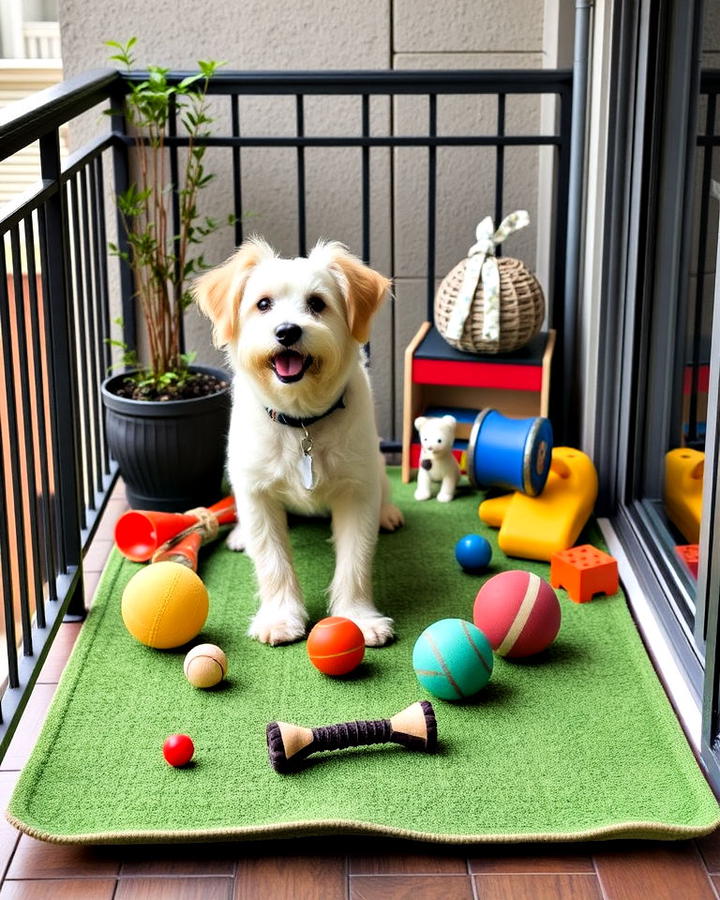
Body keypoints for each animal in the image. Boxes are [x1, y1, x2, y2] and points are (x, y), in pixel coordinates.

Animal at [194, 239, 402, 648]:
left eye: (317, 303)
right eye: (263, 304)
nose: (287, 331)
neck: (301, 420)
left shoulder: (357, 491)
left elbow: (355, 561)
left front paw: (358, 618)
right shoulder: (257, 492)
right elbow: (272, 561)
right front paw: (280, 617)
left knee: (383, 492)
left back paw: (387, 512)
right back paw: (239, 535)